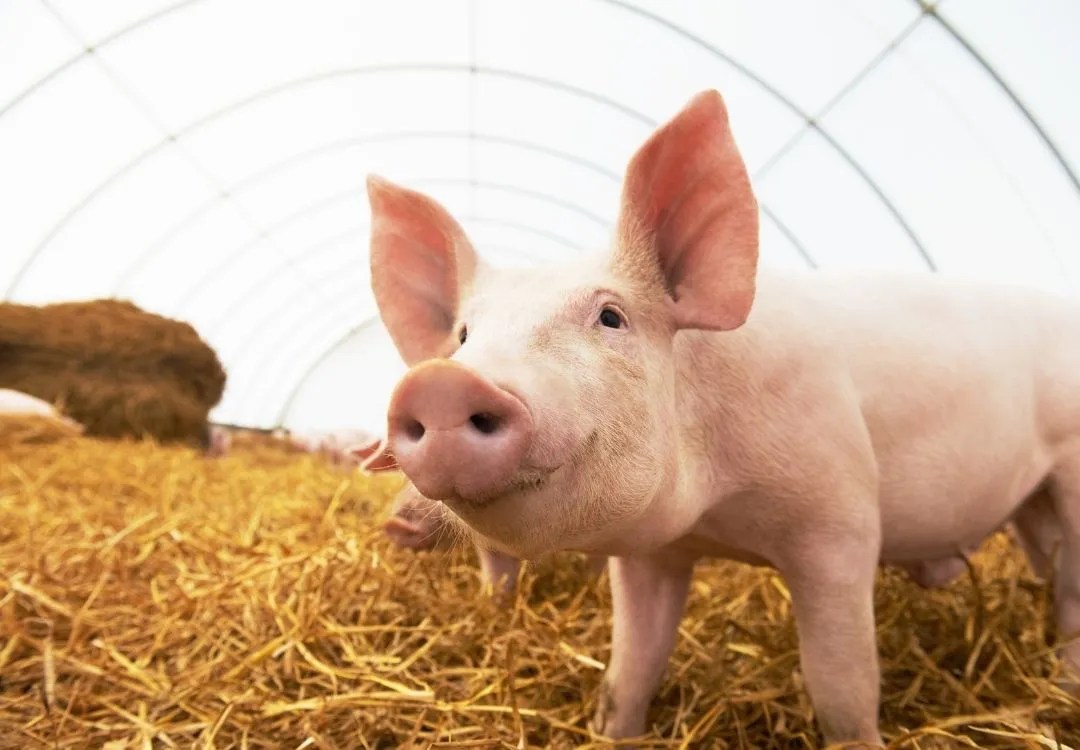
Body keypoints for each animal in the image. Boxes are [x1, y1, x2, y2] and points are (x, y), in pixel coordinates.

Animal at [363, 90, 1080, 747]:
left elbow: (840, 687)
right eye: (463, 335)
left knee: (1071, 593)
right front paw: (615, 728)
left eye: (611, 316)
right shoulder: (650, 554)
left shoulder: (840, 519)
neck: (718, 513)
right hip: (1033, 504)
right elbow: (630, 670)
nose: (441, 383)